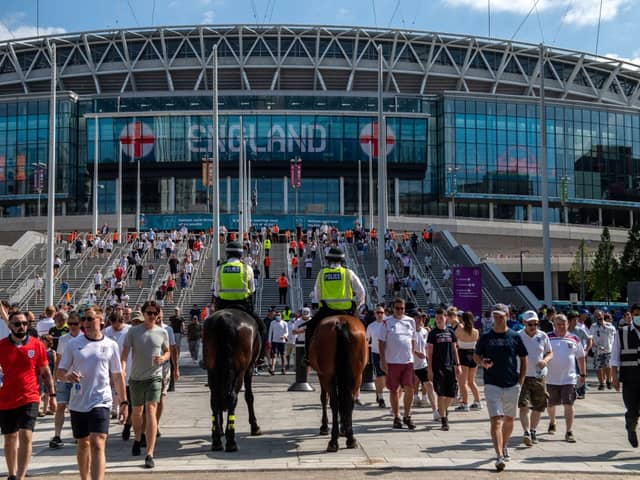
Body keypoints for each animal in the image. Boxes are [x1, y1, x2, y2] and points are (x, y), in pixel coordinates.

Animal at [201, 308, 258, 450]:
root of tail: (224, 321)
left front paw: (220, 428)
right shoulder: (249, 368)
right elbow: (249, 396)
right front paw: (254, 426)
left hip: (212, 369)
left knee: (215, 399)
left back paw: (217, 440)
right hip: (239, 371)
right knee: (232, 397)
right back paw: (231, 441)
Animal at [308, 314, 368, 452]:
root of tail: (341, 323)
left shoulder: (321, 374)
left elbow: (324, 398)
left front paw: (324, 426)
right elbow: (343, 400)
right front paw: (344, 429)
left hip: (327, 375)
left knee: (334, 402)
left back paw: (333, 440)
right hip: (357, 375)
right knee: (348, 401)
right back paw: (350, 438)